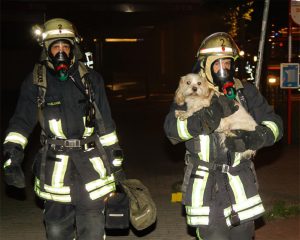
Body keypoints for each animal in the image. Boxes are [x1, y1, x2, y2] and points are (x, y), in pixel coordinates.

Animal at [2, 17, 125, 240]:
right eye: (55, 46)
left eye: (65, 46)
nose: (62, 58)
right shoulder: (27, 89)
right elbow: (20, 124)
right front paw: (12, 168)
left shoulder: (97, 86)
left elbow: (106, 128)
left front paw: (118, 173)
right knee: (57, 222)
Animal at [164, 32, 284, 240]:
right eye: (188, 83)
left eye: (199, 83)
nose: (194, 88)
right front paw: (182, 112)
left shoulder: (204, 107)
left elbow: (195, 111)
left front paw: (185, 114)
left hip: (237, 126)